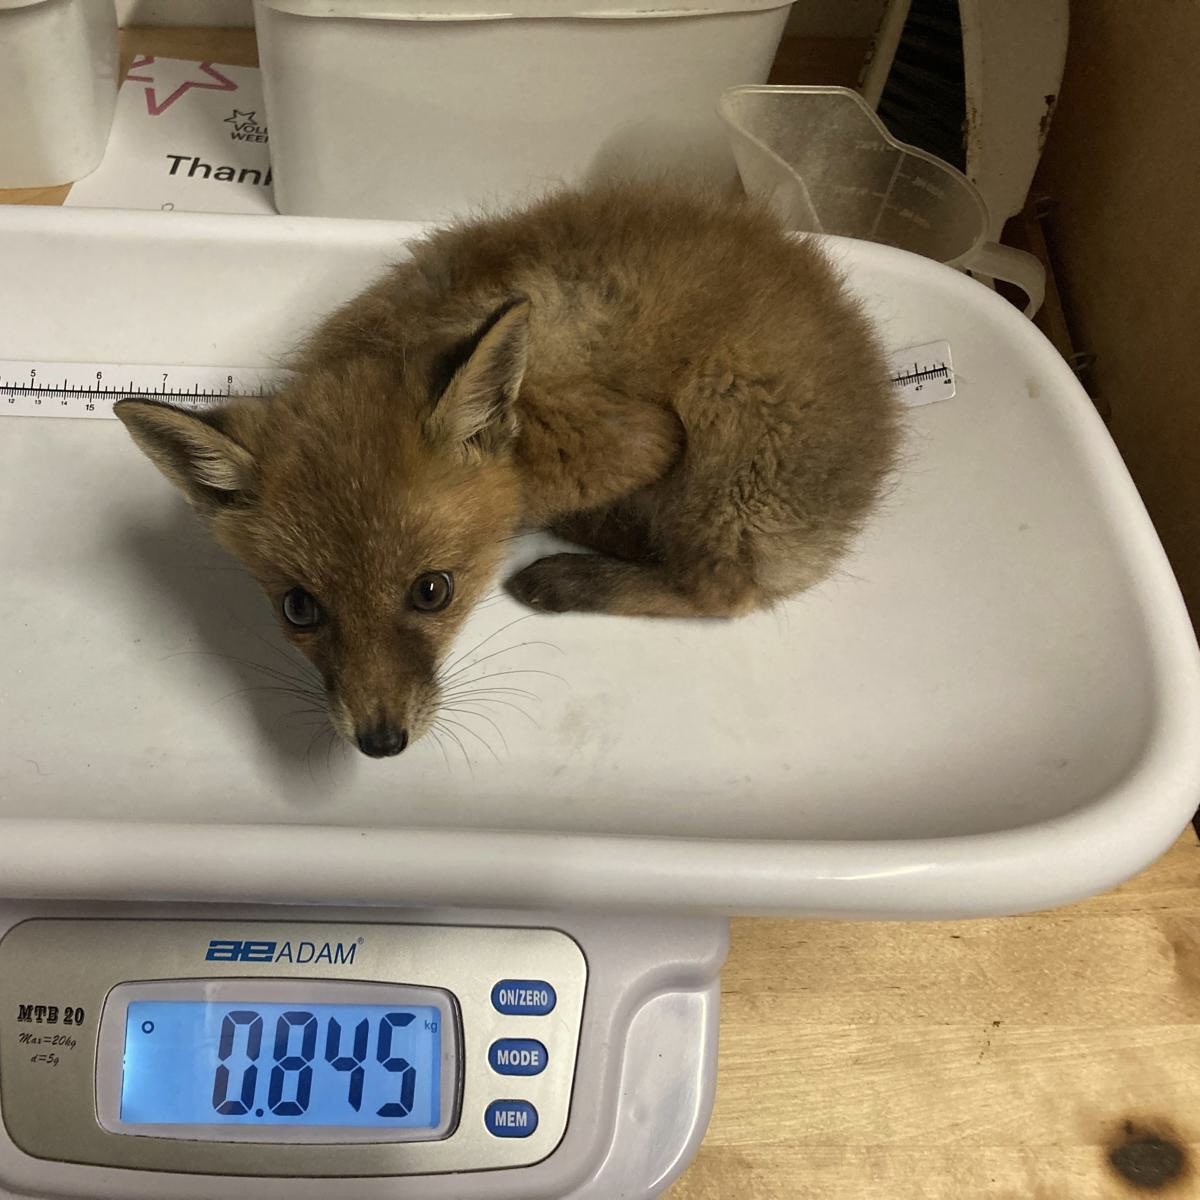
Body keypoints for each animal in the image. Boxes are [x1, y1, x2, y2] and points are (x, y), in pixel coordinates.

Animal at [114, 183, 899, 759]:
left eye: (433, 591)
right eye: (299, 609)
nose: (380, 742)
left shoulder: (645, 438)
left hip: (721, 440)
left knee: (719, 589)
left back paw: (574, 570)